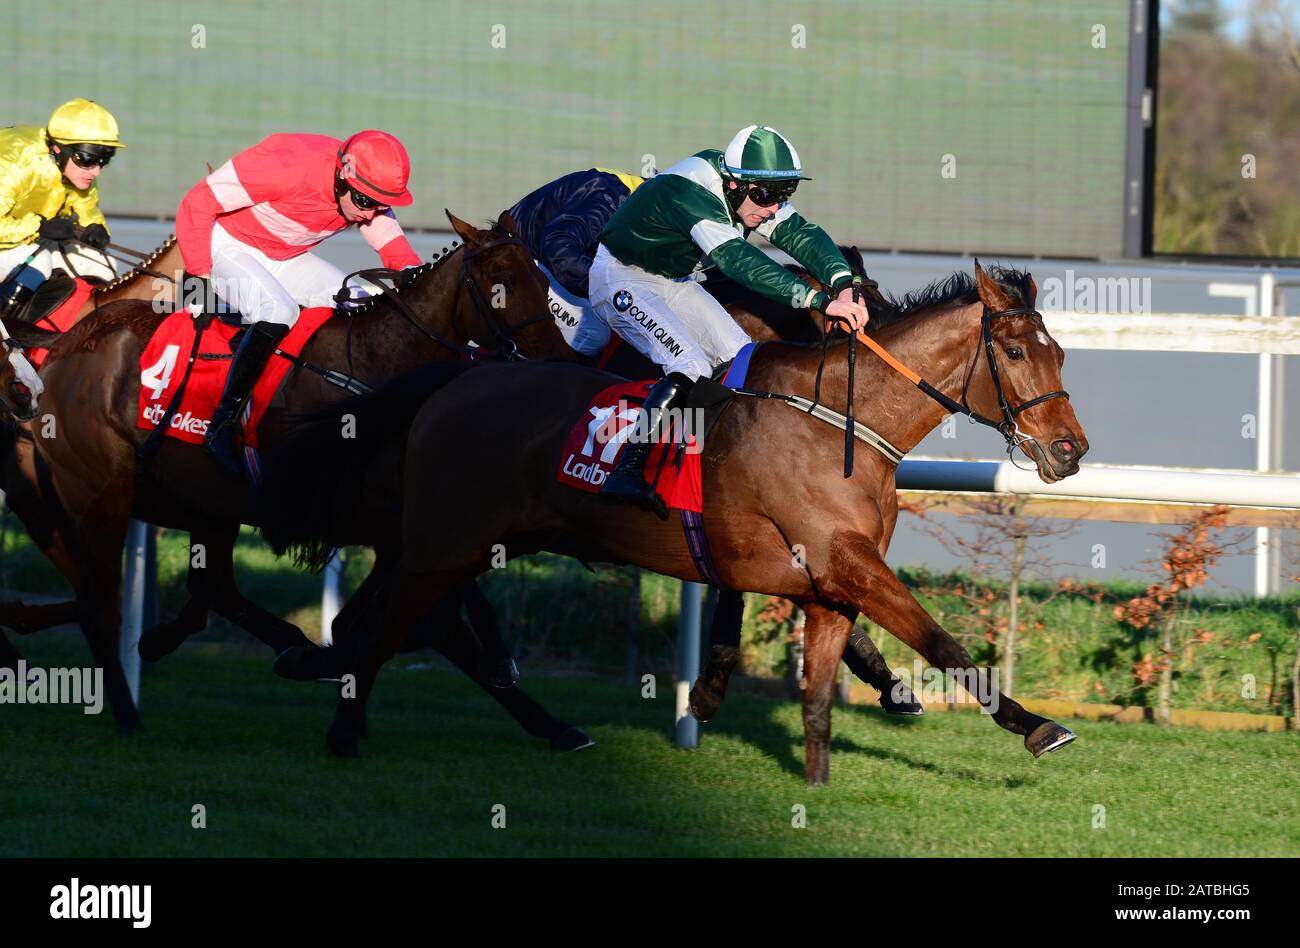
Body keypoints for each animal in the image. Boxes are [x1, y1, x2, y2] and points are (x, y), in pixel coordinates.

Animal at [261, 260, 1086, 785]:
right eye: (1016, 350)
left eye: (1061, 354)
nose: (1070, 450)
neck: (834, 421)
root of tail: (453, 380)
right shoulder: (844, 563)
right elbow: (940, 640)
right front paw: (1036, 726)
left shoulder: (825, 583)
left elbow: (820, 695)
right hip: (444, 545)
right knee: (391, 624)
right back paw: (345, 725)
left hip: (457, 543)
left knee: (390, 620)